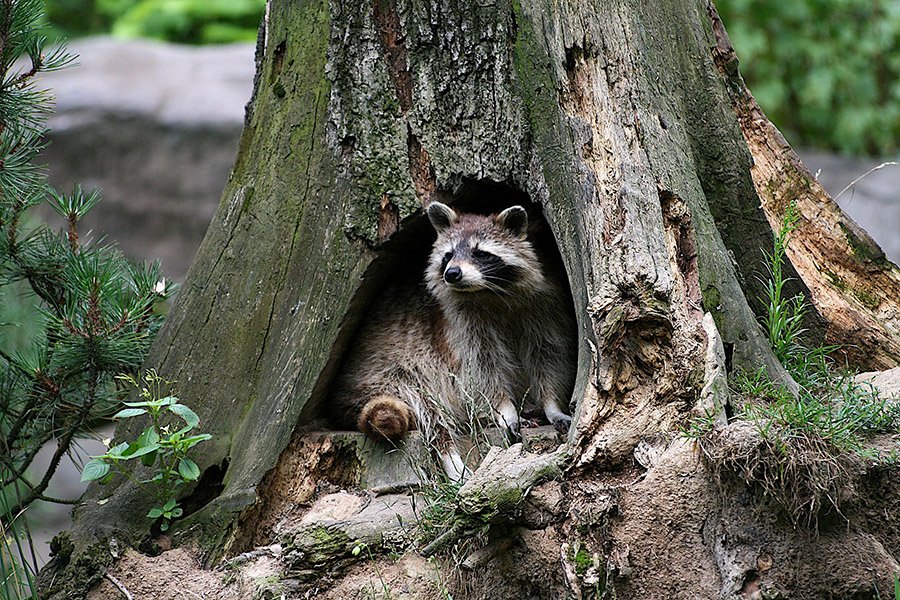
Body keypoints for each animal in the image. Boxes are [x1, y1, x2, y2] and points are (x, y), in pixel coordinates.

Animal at [330, 202, 576, 479]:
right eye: (447, 255)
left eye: (480, 253)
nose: (452, 274)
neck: (491, 292)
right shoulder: (457, 325)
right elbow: (481, 370)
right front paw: (505, 409)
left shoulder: (544, 307)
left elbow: (548, 354)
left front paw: (551, 405)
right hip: (394, 375)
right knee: (430, 412)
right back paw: (452, 458)